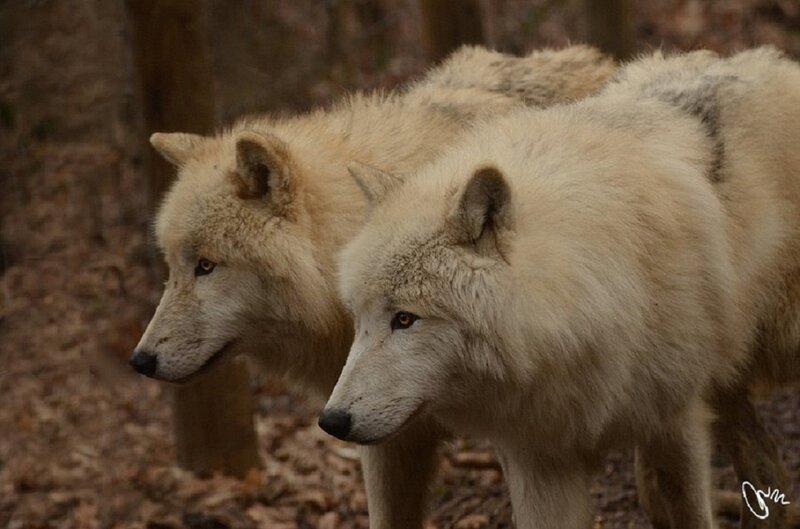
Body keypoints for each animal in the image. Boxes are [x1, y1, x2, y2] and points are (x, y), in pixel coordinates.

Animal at [322, 48, 800, 529]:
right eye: (360, 320)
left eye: (405, 318)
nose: (331, 421)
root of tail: (773, 62)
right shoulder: (541, 457)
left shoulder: (675, 421)